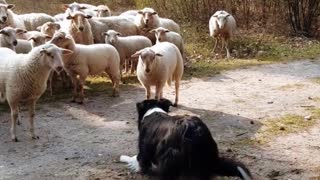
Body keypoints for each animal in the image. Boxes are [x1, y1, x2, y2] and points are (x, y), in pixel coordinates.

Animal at [120, 99, 252, 179]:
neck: (153, 111)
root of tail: (195, 131)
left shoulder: (144, 148)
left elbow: (138, 159)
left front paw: (124, 158)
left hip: (169, 157)